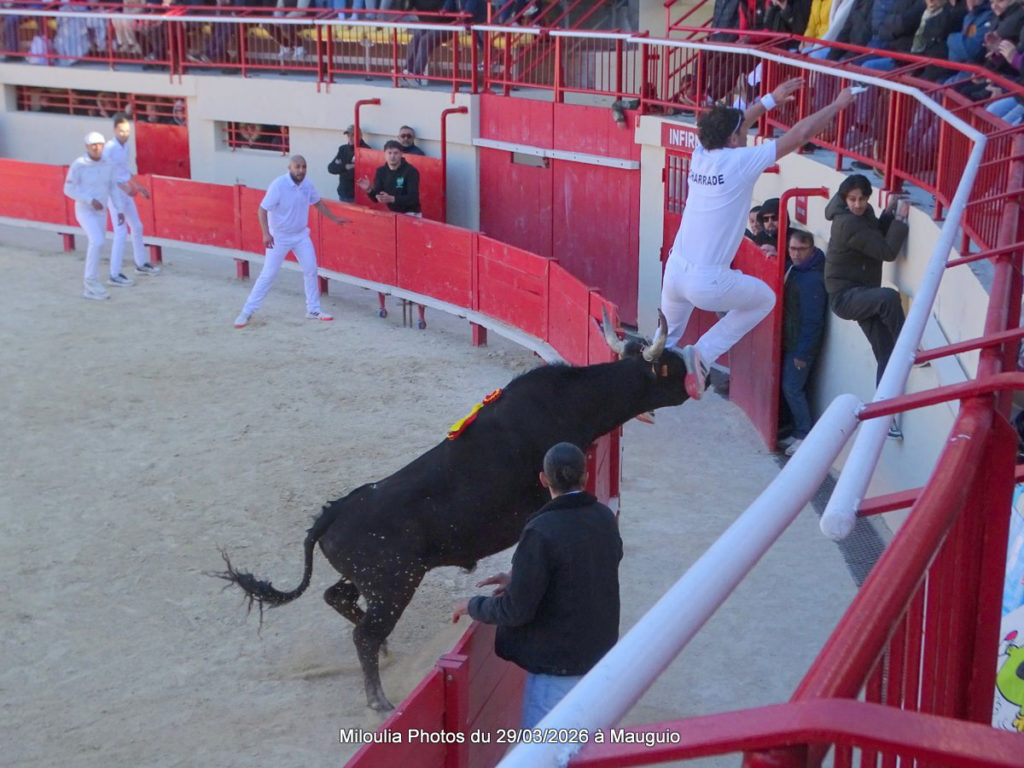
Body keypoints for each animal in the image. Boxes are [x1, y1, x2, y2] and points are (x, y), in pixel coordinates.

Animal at [214, 310, 691, 711]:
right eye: (670, 366)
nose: (697, 379)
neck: (568, 403)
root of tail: (332, 512)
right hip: (396, 584)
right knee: (363, 633)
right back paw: (379, 698)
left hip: (372, 578)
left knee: (339, 598)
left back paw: (385, 653)